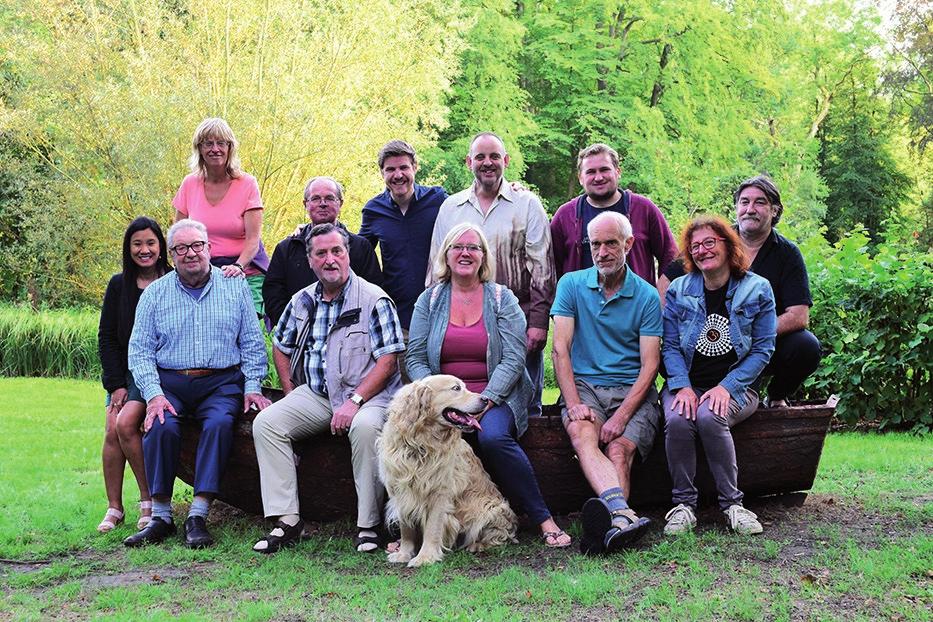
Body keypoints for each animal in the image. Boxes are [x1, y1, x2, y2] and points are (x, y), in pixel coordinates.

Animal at [376, 376, 516, 572]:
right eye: (456, 388)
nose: (485, 399)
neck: (421, 442)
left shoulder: (439, 493)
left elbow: (432, 529)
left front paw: (425, 557)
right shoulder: (400, 490)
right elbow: (406, 529)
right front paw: (404, 554)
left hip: (491, 509)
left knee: (499, 534)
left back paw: (476, 545)